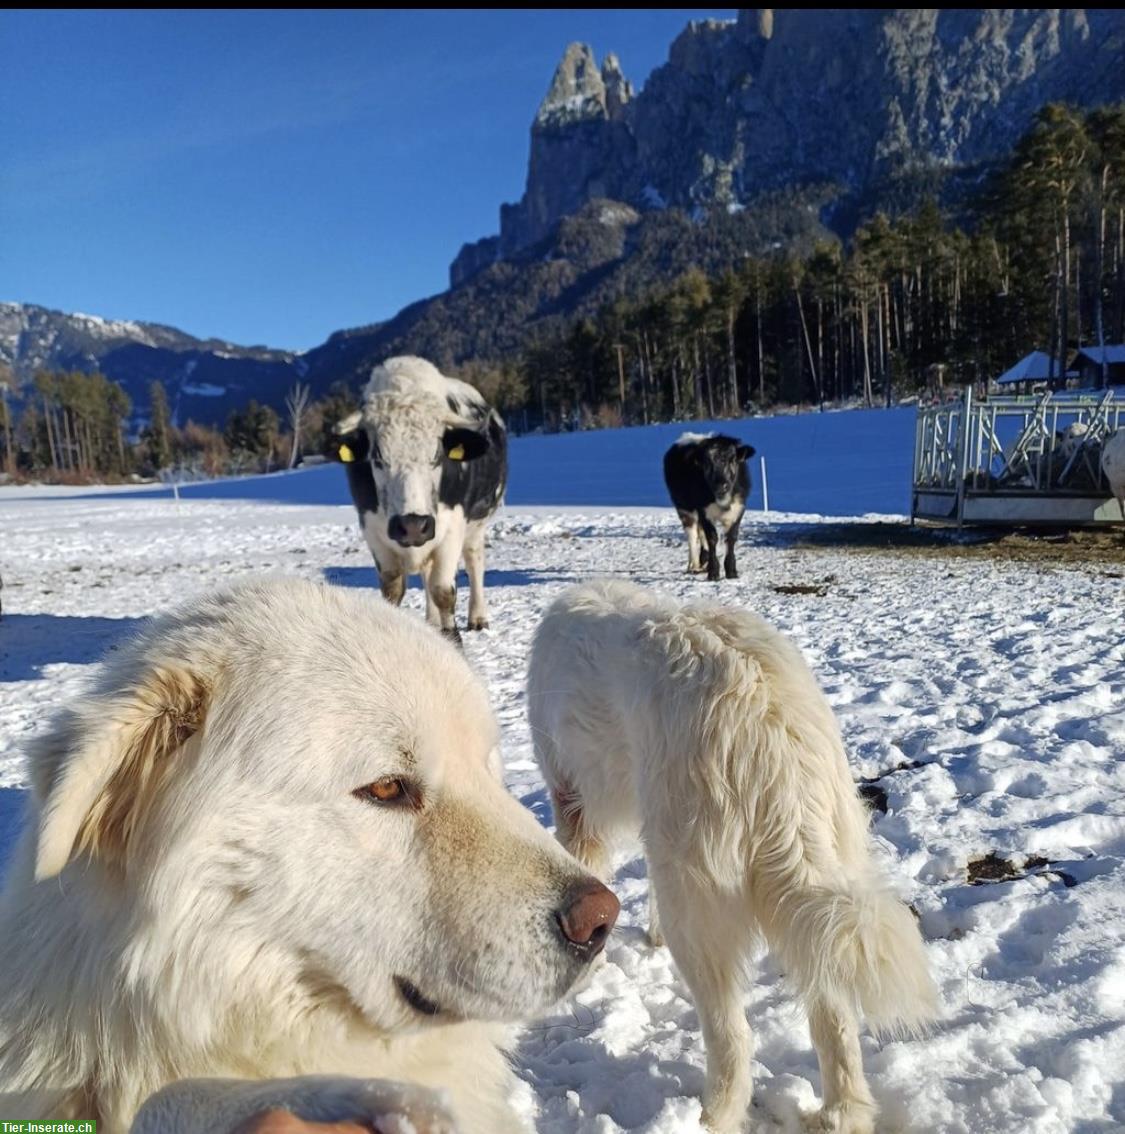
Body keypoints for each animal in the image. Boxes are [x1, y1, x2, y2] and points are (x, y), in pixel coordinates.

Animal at [326, 353, 508, 639]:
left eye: (437, 455)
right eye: (377, 457)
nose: (412, 525)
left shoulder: (452, 527)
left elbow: (443, 591)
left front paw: (452, 638)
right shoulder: (372, 530)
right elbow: (393, 590)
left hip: (475, 527)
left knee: (474, 563)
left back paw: (478, 617)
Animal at [528, 585, 939, 1134]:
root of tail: (766, 719)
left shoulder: (574, 803)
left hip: (698, 901)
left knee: (733, 1035)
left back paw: (711, 1116)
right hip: (823, 870)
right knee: (832, 1014)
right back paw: (840, 1114)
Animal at [662, 428, 753, 580]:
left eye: (733, 459)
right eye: (706, 463)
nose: (721, 486)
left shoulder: (738, 509)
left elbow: (731, 538)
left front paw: (731, 571)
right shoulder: (704, 511)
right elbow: (712, 538)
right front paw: (713, 572)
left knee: (700, 534)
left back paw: (703, 562)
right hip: (684, 508)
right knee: (692, 535)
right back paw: (694, 565)